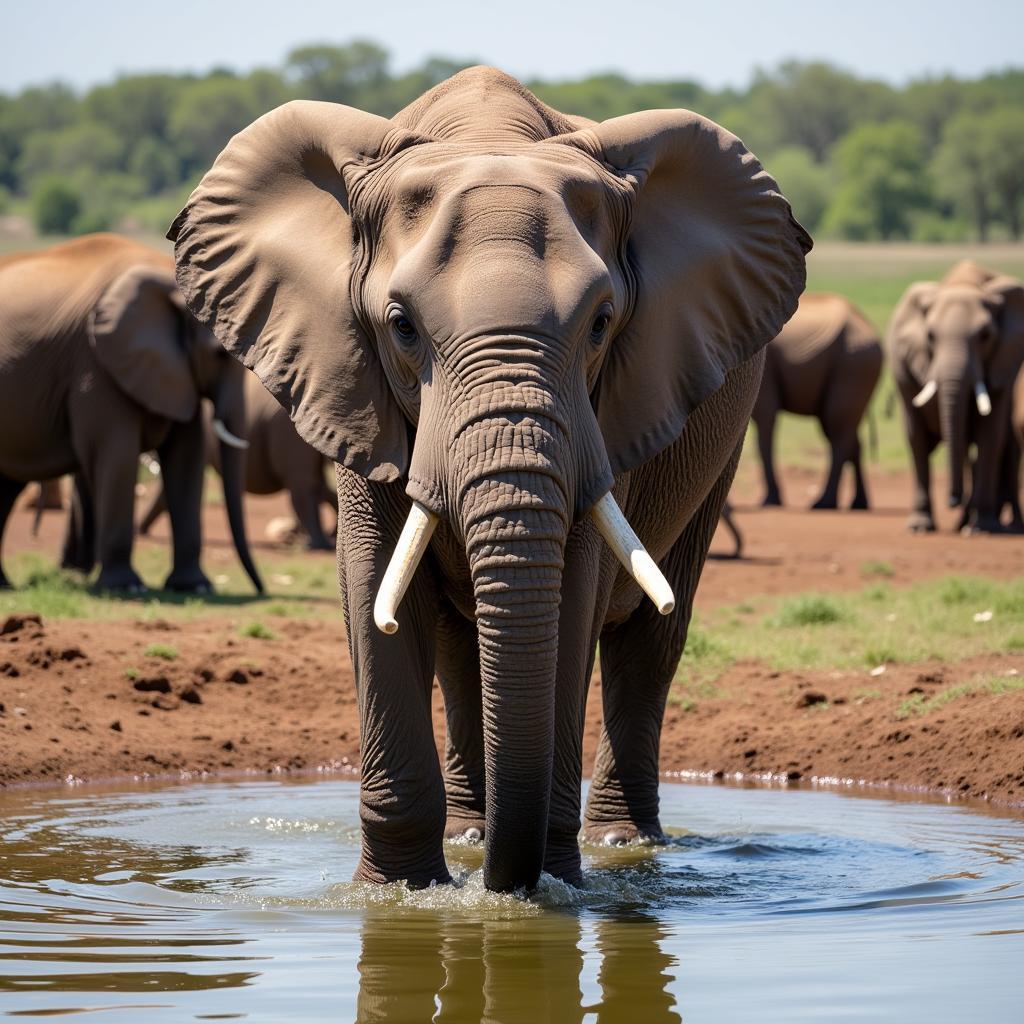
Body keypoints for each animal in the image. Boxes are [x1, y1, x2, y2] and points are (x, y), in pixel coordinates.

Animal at [0, 233, 262, 593]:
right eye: (220, 354)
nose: (261, 588)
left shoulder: (173, 370)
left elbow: (186, 457)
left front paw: (195, 587)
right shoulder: (95, 364)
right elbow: (117, 454)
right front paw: (124, 587)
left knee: (4, 488)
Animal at [167, 68, 806, 892]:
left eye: (602, 323)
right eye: (401, 326)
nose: (506, 886)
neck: (487, 134)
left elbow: (573, 591)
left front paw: (553, 885)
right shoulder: (352, 385)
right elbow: (373, 583)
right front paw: (401, 892)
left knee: (649, 640)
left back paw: (621, 842)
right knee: (455, 643)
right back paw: (473, 835)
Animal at [749, 292, 884, 507]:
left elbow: (764, 419)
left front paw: (769, 502)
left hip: (853, 363)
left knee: (837, 428)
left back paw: (823, 503)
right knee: (844, 431)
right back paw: (858, 504)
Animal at [888, 260, 1024, 532]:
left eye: (985, 336)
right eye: (930, 336)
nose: (953, 499)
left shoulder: (1006, 361)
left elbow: (990, 435)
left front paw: (983, 527)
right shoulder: (902, 365)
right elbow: (916, 437)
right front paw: (920, 527)